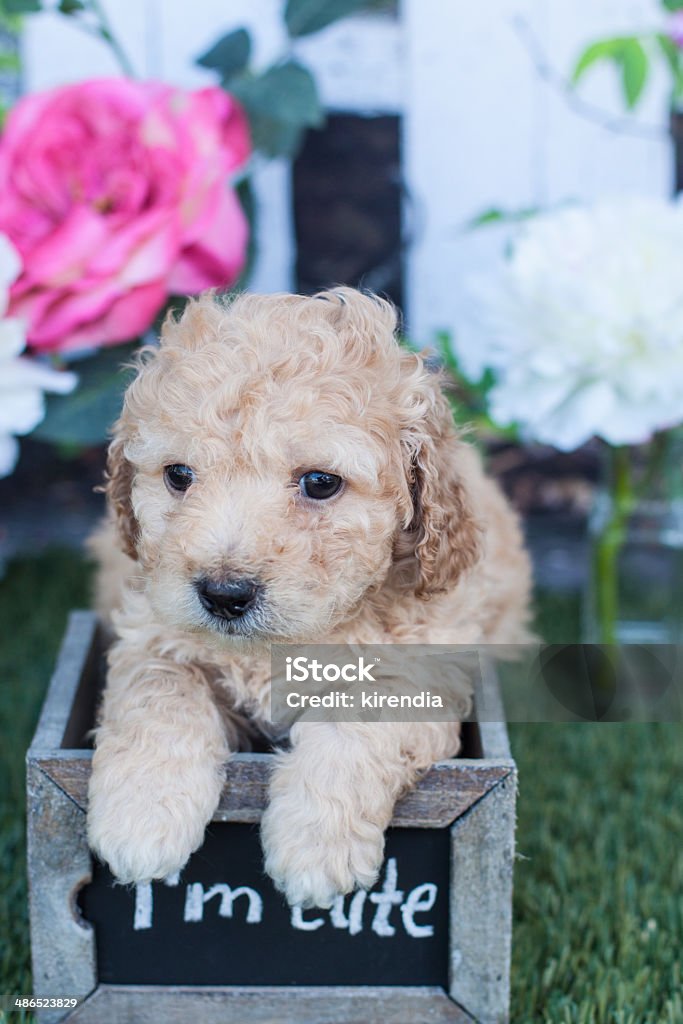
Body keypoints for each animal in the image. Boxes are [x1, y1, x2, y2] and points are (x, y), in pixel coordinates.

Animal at [87, 286, 532, 905]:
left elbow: (356, 726)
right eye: (178, 475)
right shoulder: (151, 628)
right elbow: (159, 693)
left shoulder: (422, 667)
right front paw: (141, 817)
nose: (224, 594)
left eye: (320, 483)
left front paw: (315, 850)